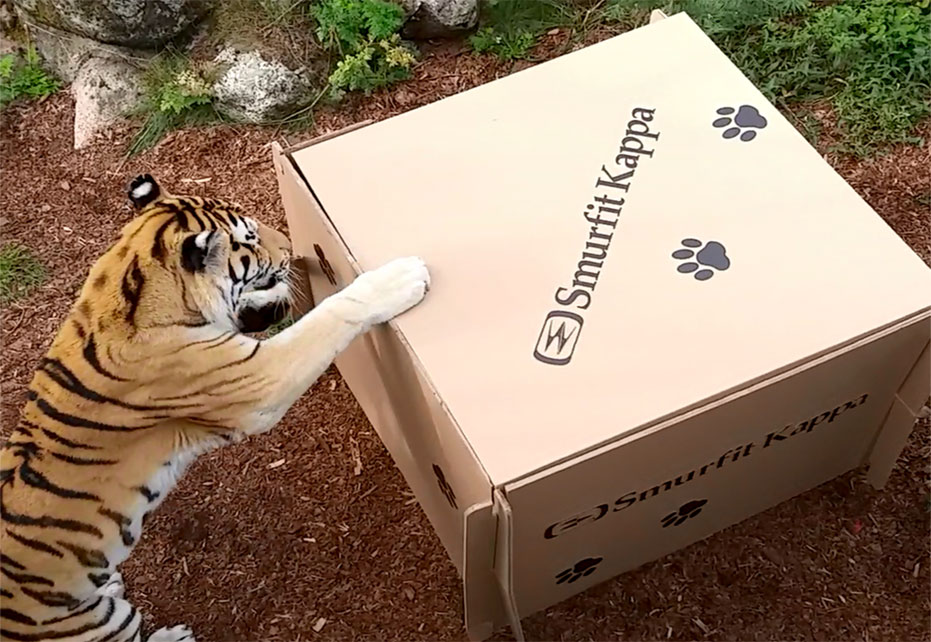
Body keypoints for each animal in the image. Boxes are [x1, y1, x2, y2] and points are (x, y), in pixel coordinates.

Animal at [0, 174, 430, 641]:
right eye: (251, 239)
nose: (288, 246)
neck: (135, 276)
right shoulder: (261, 379)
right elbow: (332, 314)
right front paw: (401, 277)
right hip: (85, 624)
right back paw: (173, 634)